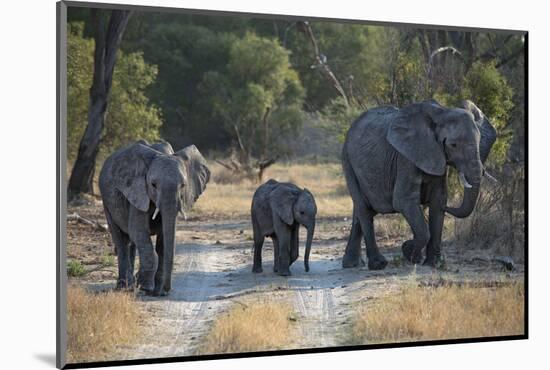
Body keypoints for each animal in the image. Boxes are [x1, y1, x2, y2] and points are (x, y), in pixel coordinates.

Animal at [99, 140, 211, 296]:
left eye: (183, 186)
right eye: (153, 185)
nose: (168, 289)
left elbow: (163, 238)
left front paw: (158, 292)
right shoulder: (138, 191)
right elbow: (138, 231)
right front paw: (145, 287)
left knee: (131, 243)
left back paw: (131, 285)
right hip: (106, 202)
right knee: (121, 240)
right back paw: (124, 286)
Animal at [342, 99, 498, 270]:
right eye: (453, 145)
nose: (449, 208)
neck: (442, 112)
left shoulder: (436, 155)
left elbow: (438, 200)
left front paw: (434, 264)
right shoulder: (406, 158)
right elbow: (404, 201)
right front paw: (409, 252)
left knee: (361, 210)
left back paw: (352, 264)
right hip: (348, 162)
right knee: (364, 209)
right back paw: (378, 264)